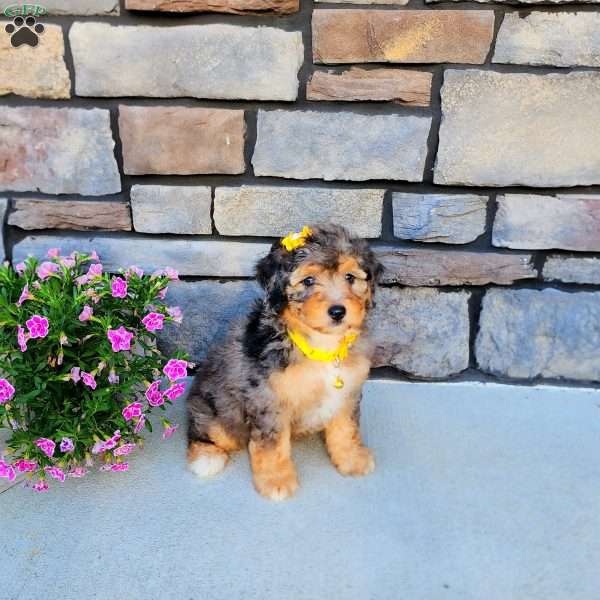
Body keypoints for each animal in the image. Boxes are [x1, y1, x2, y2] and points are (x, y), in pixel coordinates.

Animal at [188, 223, 382, 500]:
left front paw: (353, 459)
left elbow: (346, 429)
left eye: (350, 277)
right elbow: (272, 445)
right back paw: (206, 457)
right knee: (201, 429)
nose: (338, 311)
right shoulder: (269, 400)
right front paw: (276, 480)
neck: (319, 346)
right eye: (308, 280)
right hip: (219, 416)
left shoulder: (348, 392)